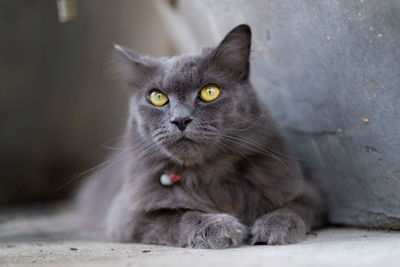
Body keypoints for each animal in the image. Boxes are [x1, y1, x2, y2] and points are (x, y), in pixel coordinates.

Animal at [77, 25, 324, 249]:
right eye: (157, 97)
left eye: (209, 92)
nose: (180, 119)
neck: (209, 175)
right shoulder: (127, 215)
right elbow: (178, 216)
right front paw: (221, 228)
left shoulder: (309, 193)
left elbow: (292, 208)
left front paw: (273, 227)